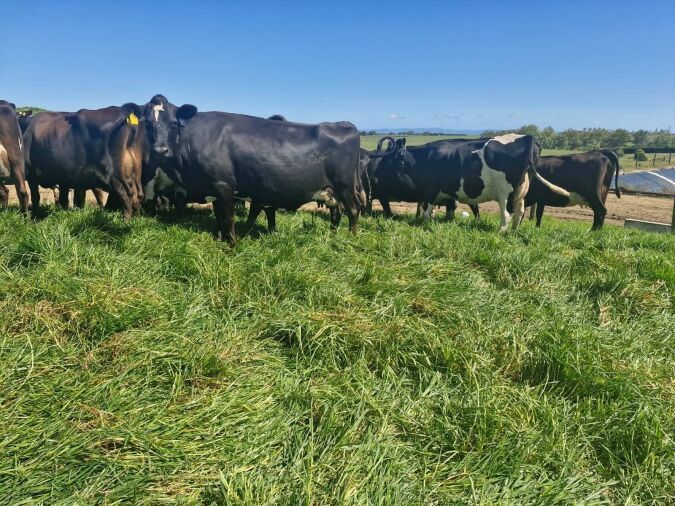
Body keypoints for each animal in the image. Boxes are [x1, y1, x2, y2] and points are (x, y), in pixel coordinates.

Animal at [141, 94, 363, 244]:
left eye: (173, 123)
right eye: (147, 124)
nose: (160, 150)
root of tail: (342, 124)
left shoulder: (224, 184)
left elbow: (228, 217)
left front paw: (231, 245)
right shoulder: (214, 188)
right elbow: (219, 217)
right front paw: (221, 239)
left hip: (345, 185)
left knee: (352, 209)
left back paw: (350, 239)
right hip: (330, 191)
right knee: (337, 210)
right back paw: (332, 236)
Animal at [367, 134, 570, 231]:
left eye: (387, 159)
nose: (373, 173)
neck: (424, 158)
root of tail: (528, 137)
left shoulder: (431, 189)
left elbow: (426, 210)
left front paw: (424, 223)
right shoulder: (448, 193)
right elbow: (448, 210)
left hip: (505, 192)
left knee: (506, 213)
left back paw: (500, 233)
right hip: (520, 191)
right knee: (519, 213)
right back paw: (513, 232)